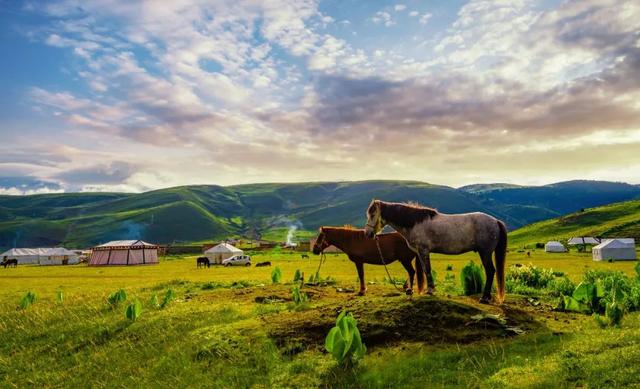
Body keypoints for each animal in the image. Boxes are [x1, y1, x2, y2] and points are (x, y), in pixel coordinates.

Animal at [364, 200, 504, 304]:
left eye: (373, 215)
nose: (368, 234)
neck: (415, 223)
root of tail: (495, 221)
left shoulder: (423, 250)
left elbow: (427, 269)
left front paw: (430, 290)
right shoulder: (420, 253)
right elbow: (424, 270)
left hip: (485, 253)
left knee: (490, 271)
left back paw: (484, 298)